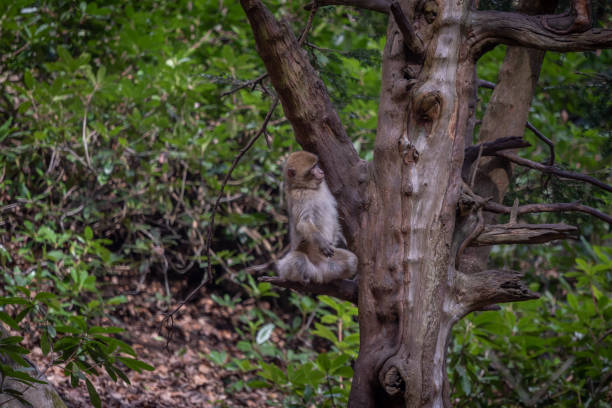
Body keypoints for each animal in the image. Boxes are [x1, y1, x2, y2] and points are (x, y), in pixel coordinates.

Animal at [274, 151, 356, 284]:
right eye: (312, 168)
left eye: (316, 165)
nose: (321, 171)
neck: (307, 187)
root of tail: (320, 273)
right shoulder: (300, 197)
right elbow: (303, 222)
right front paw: (322, 242)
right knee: (298, 260)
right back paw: (300, 279)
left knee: (352, 261)